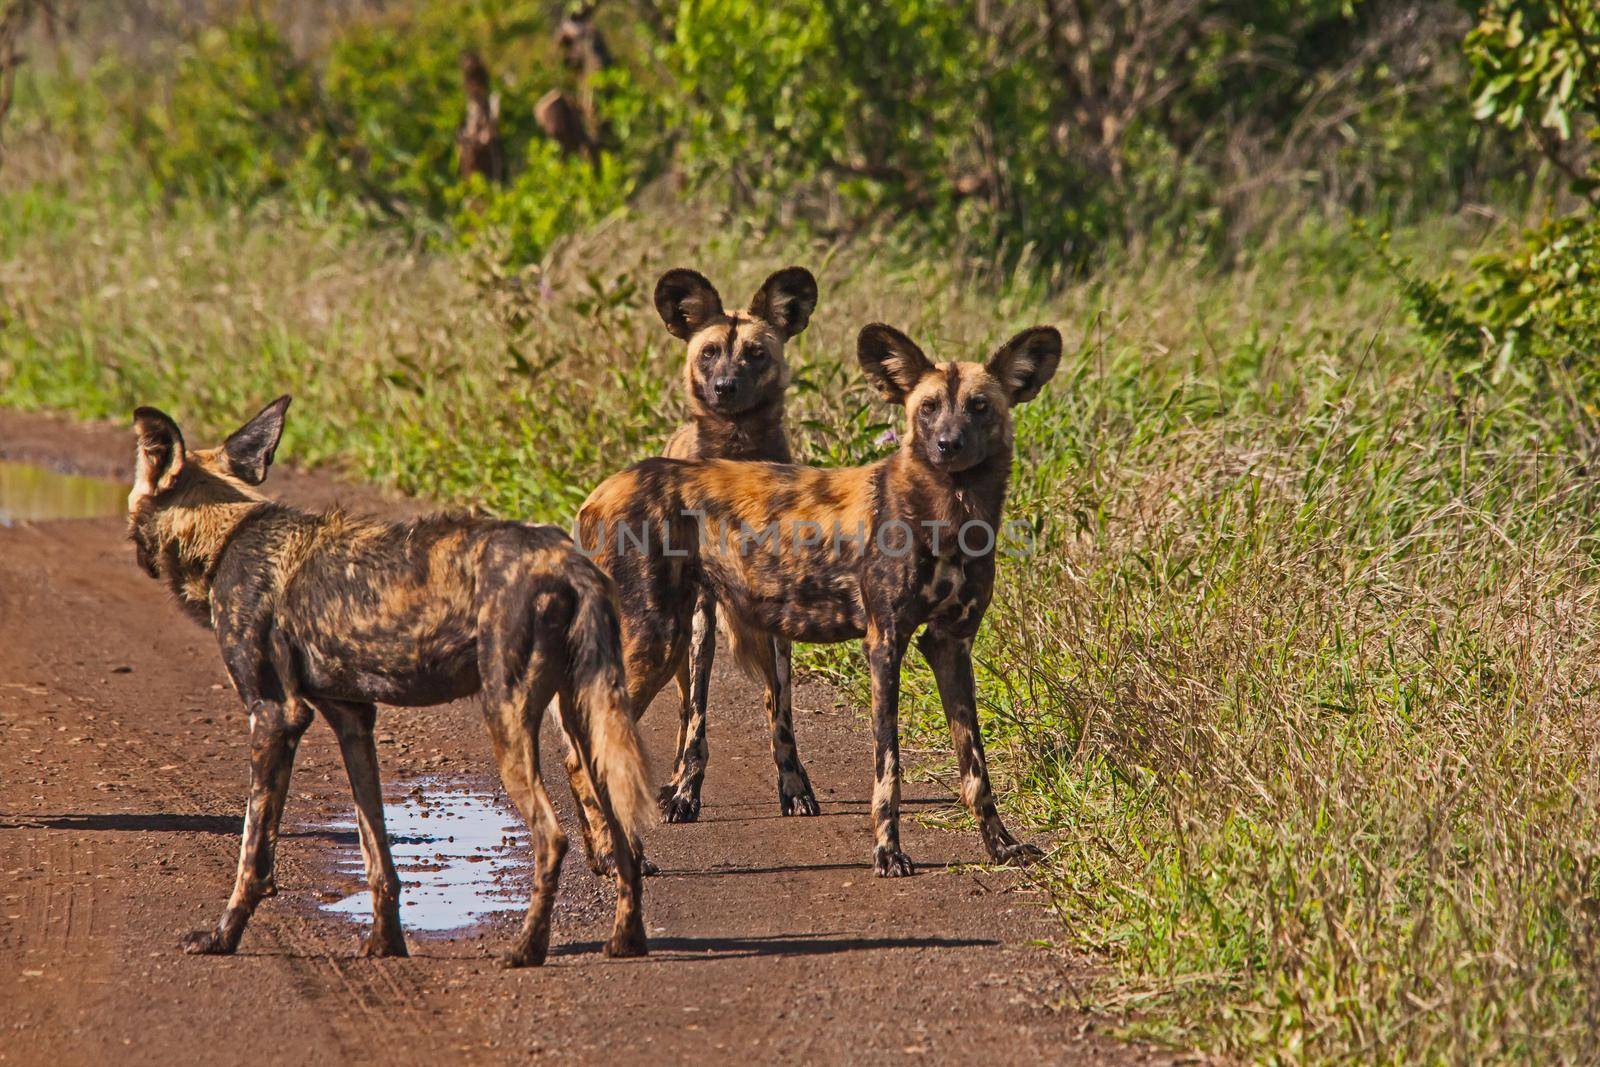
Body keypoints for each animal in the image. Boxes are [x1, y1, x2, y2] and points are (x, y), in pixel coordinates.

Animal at [124, 396, 649, 966]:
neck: (226, 537)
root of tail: (571, 561)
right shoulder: (352, 720)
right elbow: (376, 850)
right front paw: (385, 942)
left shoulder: (274, 717)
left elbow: (252, 855)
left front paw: (223, 937)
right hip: (585, 723)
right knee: (625, 837)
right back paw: (626, 941)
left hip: (507, 720)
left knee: (552, 837)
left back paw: (526, 949)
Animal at [576, 323, 1062, 876]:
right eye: (929, 407)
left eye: (979, 406)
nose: (947, 444)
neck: (949, 515)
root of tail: (601, 492)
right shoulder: (884, 645)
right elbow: (888, 768)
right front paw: (888, 853)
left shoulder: (950, 645)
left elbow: (975, 771)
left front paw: (1002, 847)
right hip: (661, 640)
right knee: (581, 754)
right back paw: (616, 857)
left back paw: (605, 857)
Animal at [649, 265, 825, 825]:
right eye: (709, 353)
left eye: (755, 354)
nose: (725, 387)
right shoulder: (703, 612)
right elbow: (699, 720)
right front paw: (686, 793)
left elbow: (783, 713)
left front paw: (794, 787)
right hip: (680, 631)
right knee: (685, 706)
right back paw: (672, 781)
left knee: (771, 698)